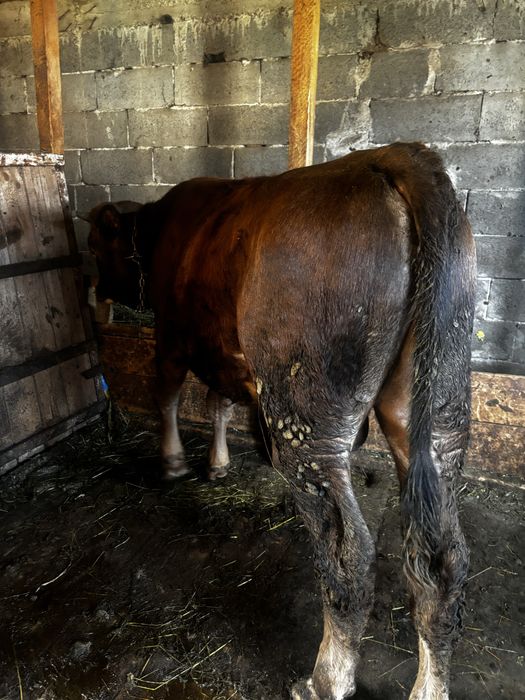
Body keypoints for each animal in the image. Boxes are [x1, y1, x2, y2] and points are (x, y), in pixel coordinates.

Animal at [88, 142, 476, 700]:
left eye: (98, 246)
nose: (95, 289)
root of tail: (396, 156)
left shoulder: (172, 336)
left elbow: (167, 396)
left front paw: (173, 462)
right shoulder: (223, 354)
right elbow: (218, 404)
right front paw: (219, 463)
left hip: (308, 421)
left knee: (348, 554)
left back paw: (325, 678)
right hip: (437, 414)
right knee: (445, 564)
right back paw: (430, 685)